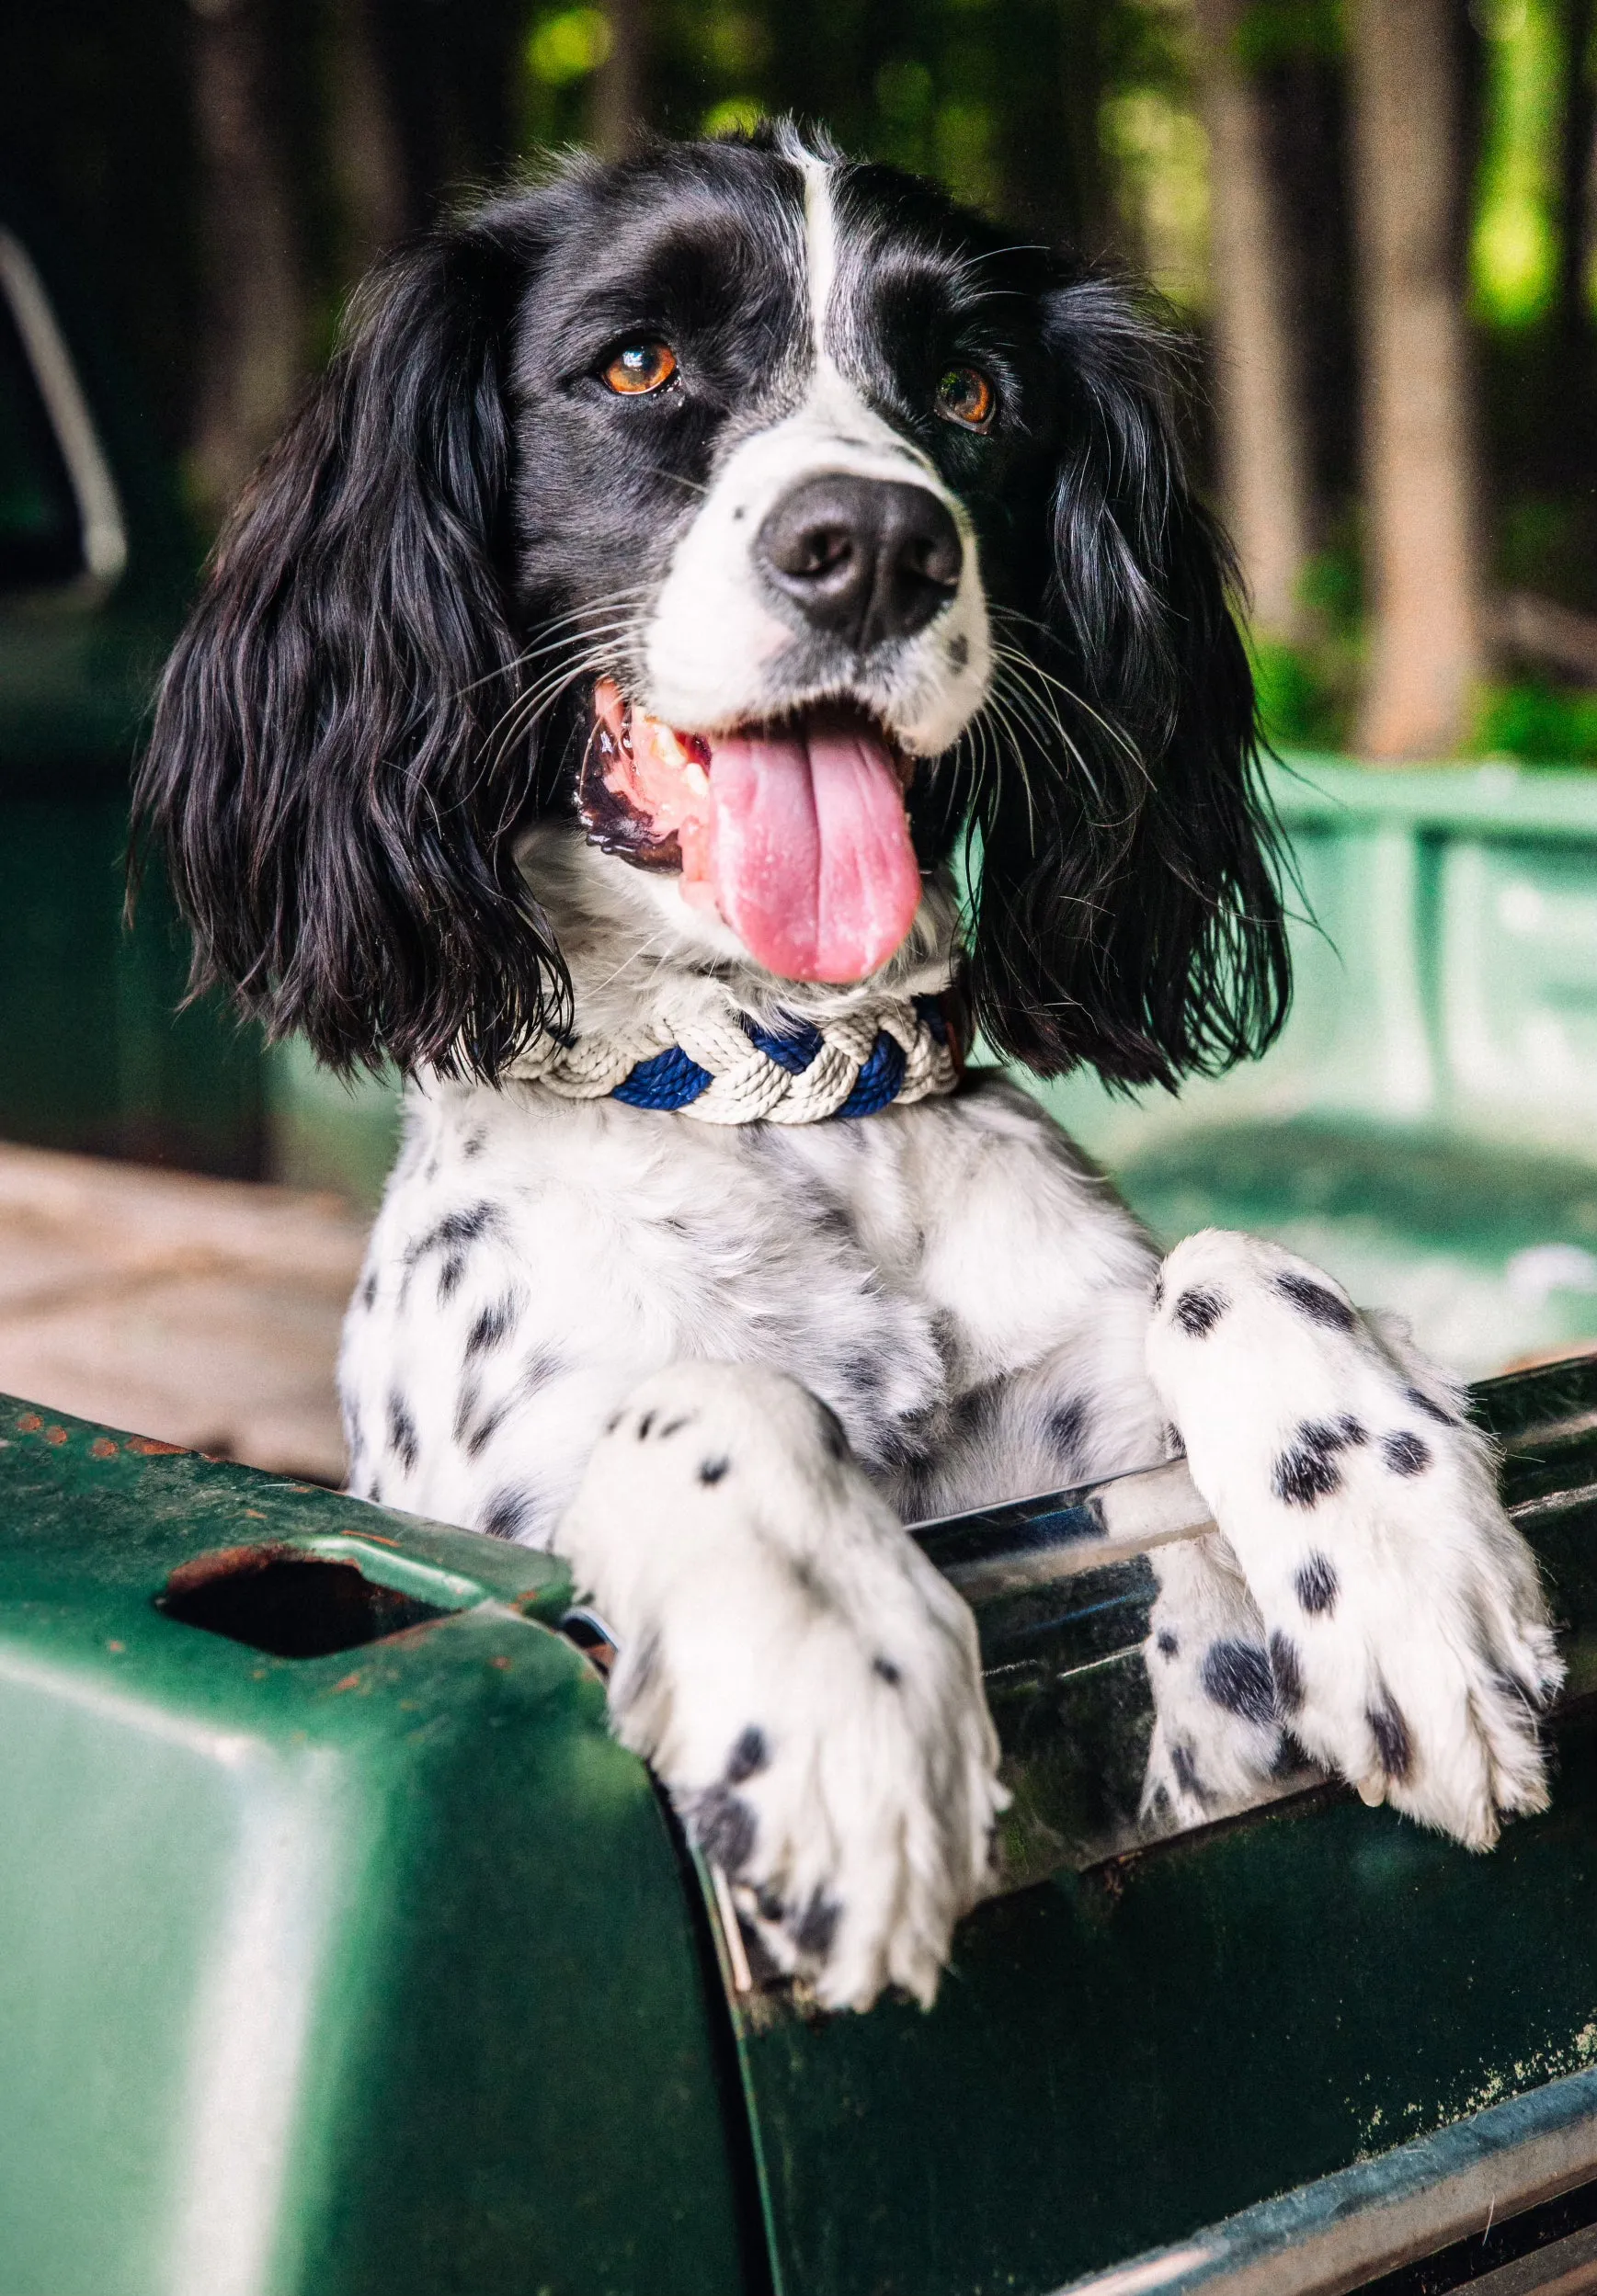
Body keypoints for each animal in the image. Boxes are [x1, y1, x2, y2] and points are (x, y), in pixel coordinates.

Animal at [137, 125, 1562, 2011]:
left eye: (967, 392)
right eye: (638, 363)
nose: (874, 544)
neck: (790, 1084)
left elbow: (1227, 1261)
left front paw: (1406, 1563)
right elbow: (720, 1396)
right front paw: (837, 1701)